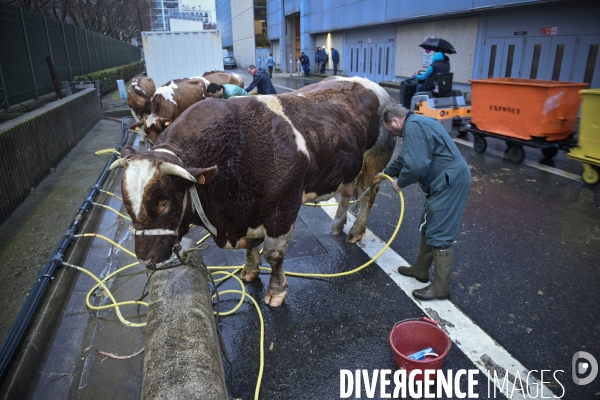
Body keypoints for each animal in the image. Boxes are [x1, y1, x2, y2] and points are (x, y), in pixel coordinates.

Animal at [110, 76, 396, 306]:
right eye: (126, 202)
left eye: (164, 202)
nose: (145, 259)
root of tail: (372, 85)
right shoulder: (246, 213)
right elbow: (251, 247)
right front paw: (249, 270)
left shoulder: (282, 207)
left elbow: (274, 254)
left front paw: (276, 292)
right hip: (349, 167)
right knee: (347, 192)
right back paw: (337, 224)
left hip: (374, 162)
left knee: (368, 195)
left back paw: (356, 230)